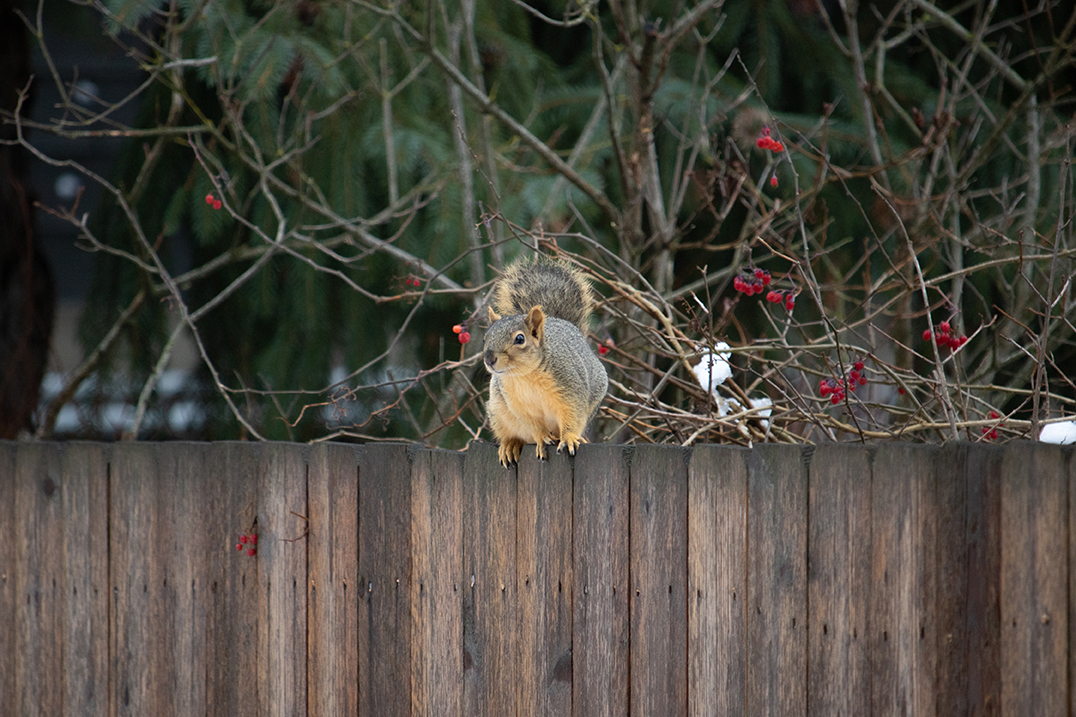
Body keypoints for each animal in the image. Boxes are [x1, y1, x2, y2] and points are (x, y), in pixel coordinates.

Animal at [483, 255, 608, 467]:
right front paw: (541, 438)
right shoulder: (517, 404)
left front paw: (569, 438)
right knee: (516, 434)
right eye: (485, 338)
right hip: (497, 412)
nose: (489, 359)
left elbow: (572, 414)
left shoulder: (570, 387)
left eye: (519, 339)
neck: (525, 375)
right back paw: (510, 444)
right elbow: (532, 425)